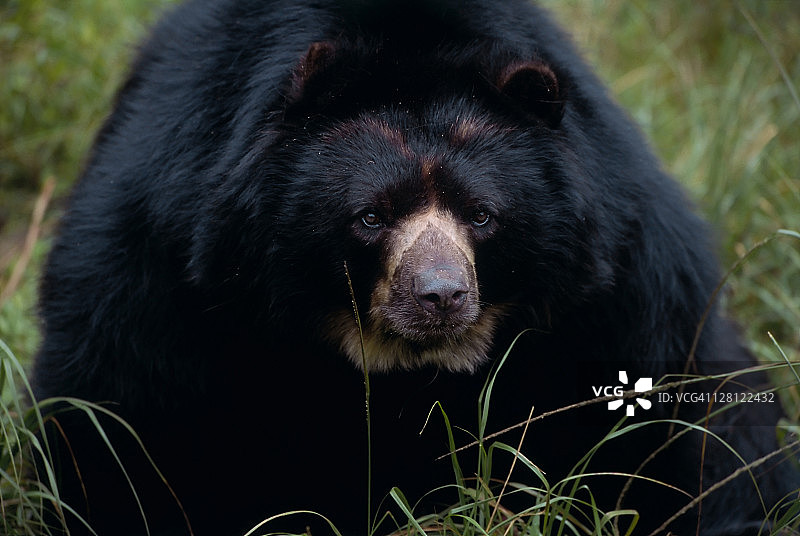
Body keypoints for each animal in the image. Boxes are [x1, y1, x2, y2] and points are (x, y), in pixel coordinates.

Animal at [32, 0, 798, 535]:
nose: (440, 295)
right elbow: (122, 419)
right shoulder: (162, 261)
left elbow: (697, 422)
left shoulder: (623, 272)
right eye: (370, 216)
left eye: (482, 214)